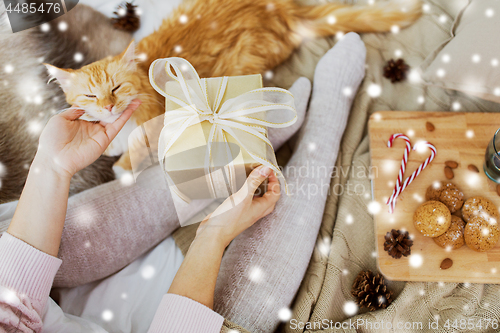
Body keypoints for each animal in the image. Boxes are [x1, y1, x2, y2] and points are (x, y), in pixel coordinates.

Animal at [46, 0, 422, 172]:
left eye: (117, 89)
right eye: (91, 95)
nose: (108, 107)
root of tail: (281, 9)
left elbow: (132, 154)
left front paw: (122, 165)